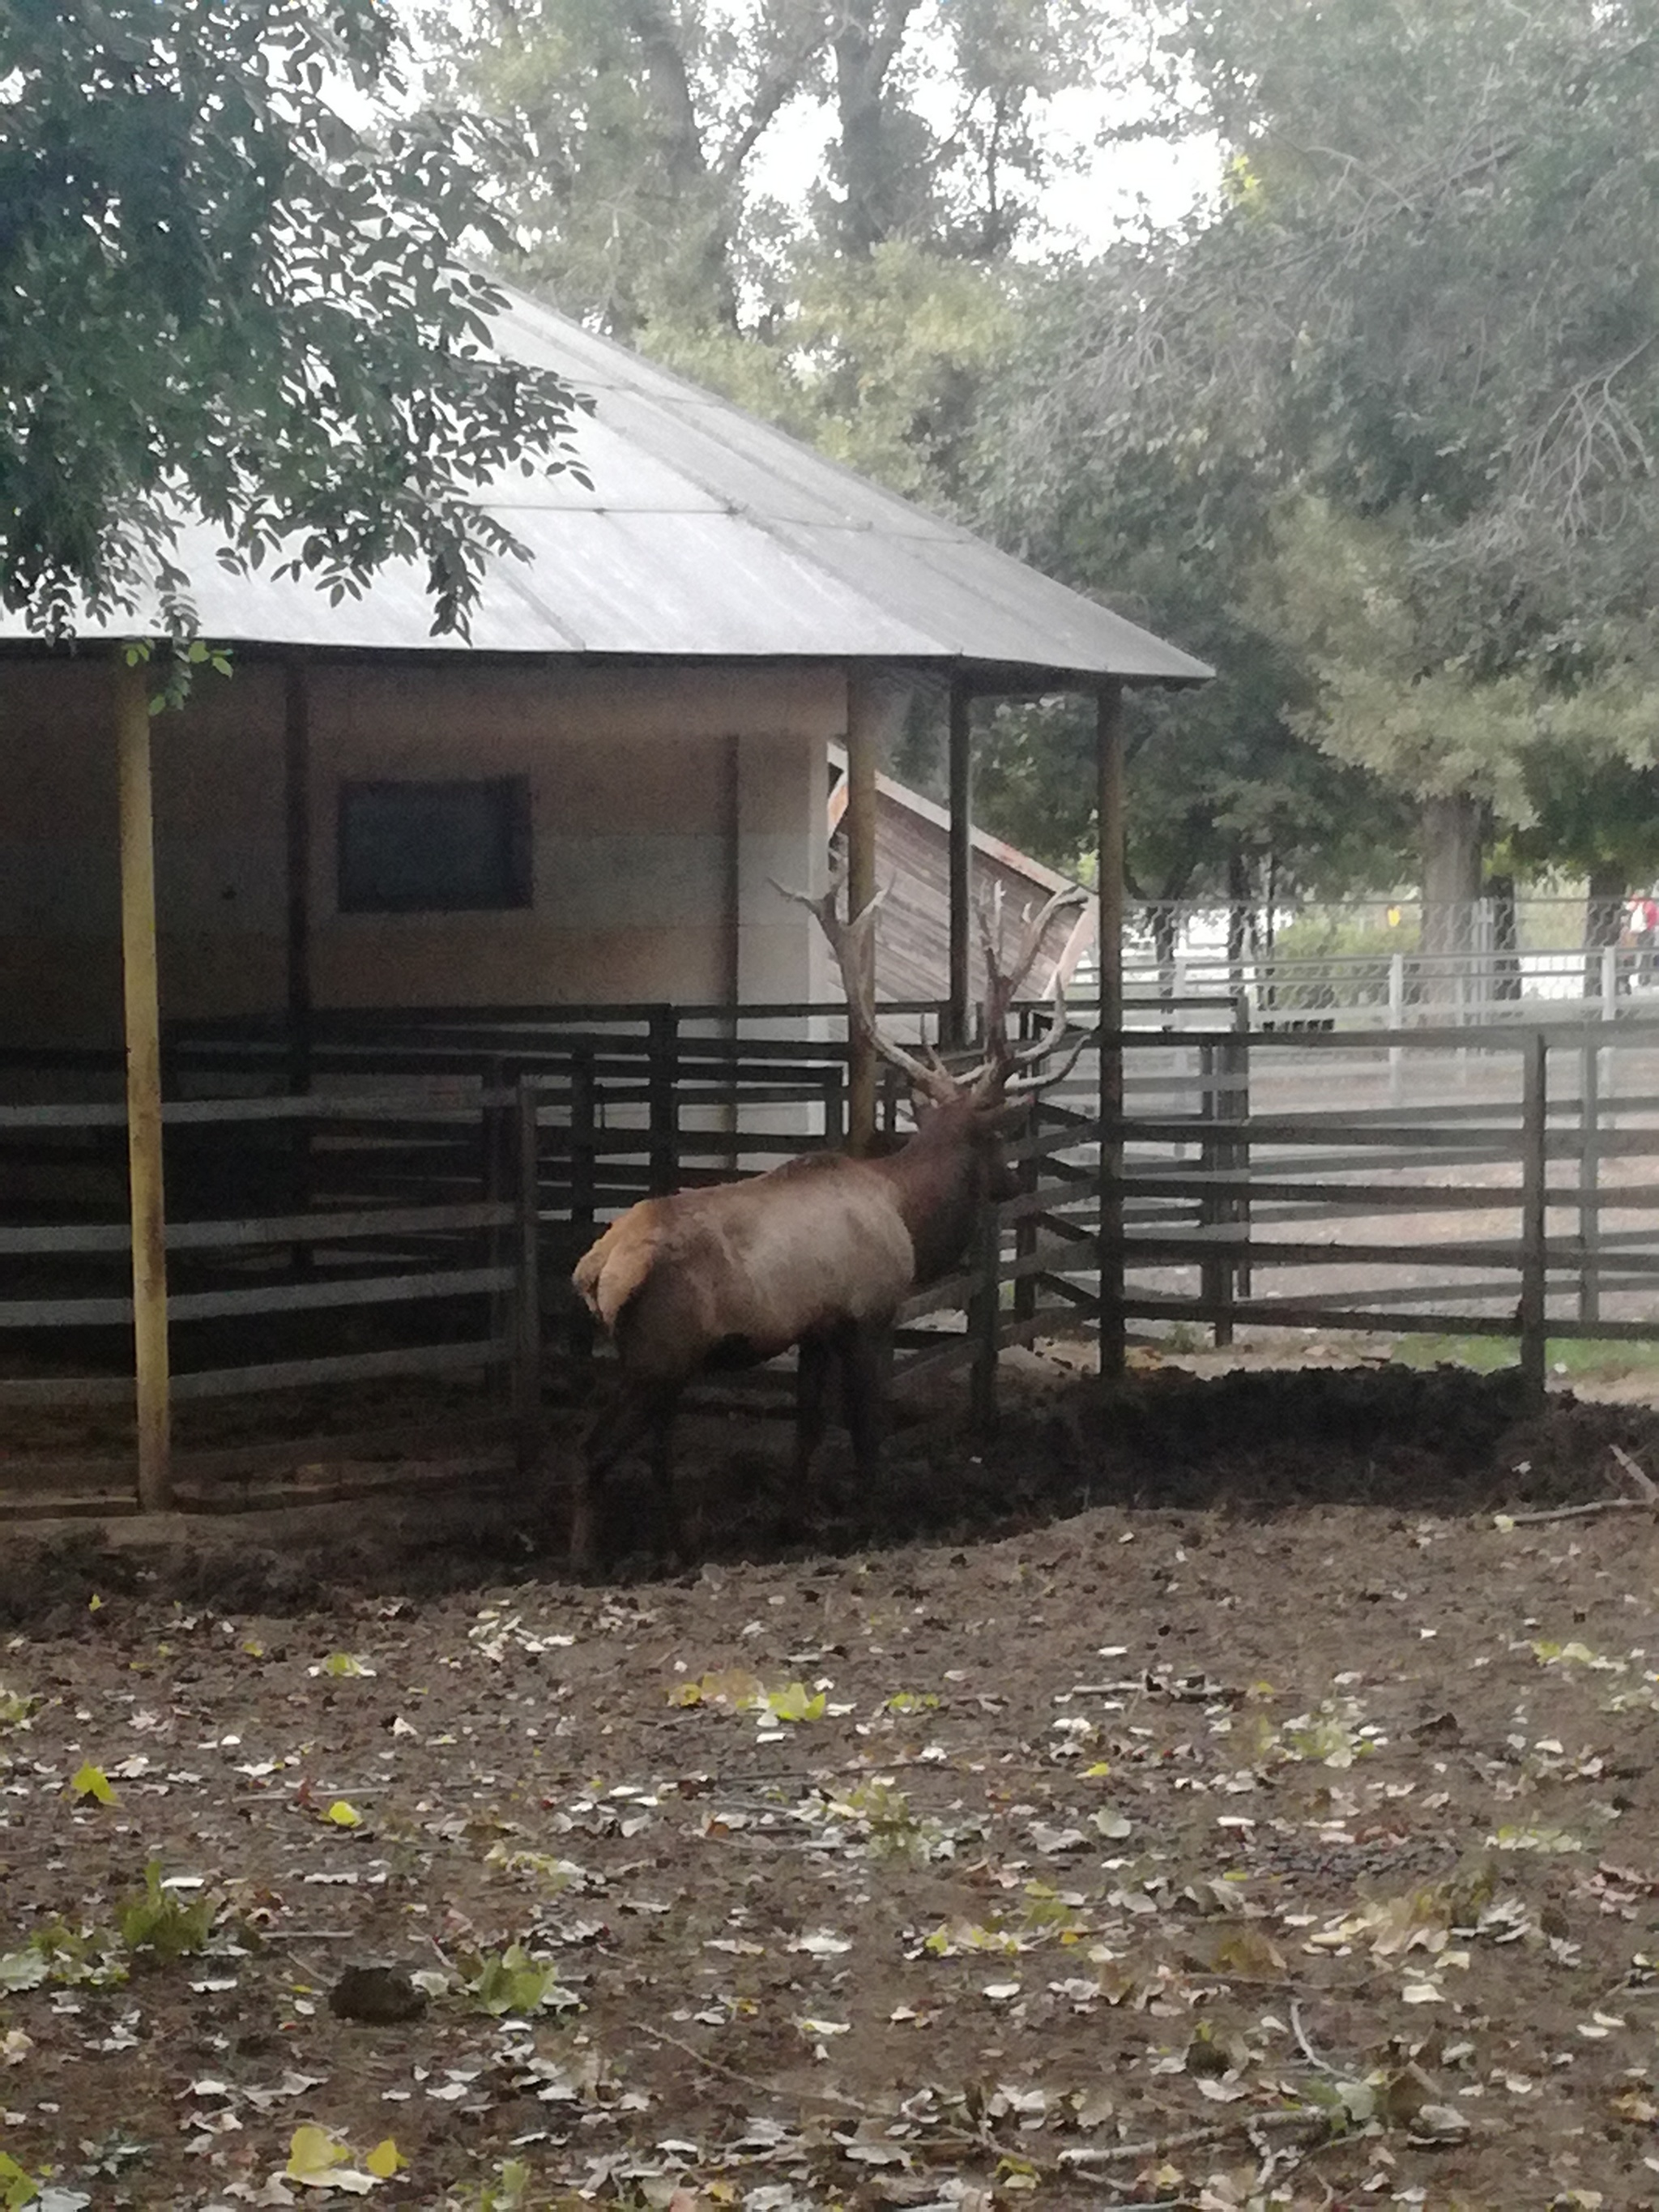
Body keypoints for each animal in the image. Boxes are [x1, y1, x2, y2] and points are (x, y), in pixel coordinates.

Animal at [570, 862, 1092, 1574]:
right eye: (996, 1142)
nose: (1012, 1183)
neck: (905, 1212)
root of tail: (594, 1272)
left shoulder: (815, 1329)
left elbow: (810, 1423)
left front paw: (795, 1519)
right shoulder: (867, 1313)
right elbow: (867, 1421)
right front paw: (873, 1515)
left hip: (655, 1361)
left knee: (649, 1447)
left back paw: (676, 1543)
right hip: (660, 1355)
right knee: (599, 1446)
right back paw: (593, 1558)